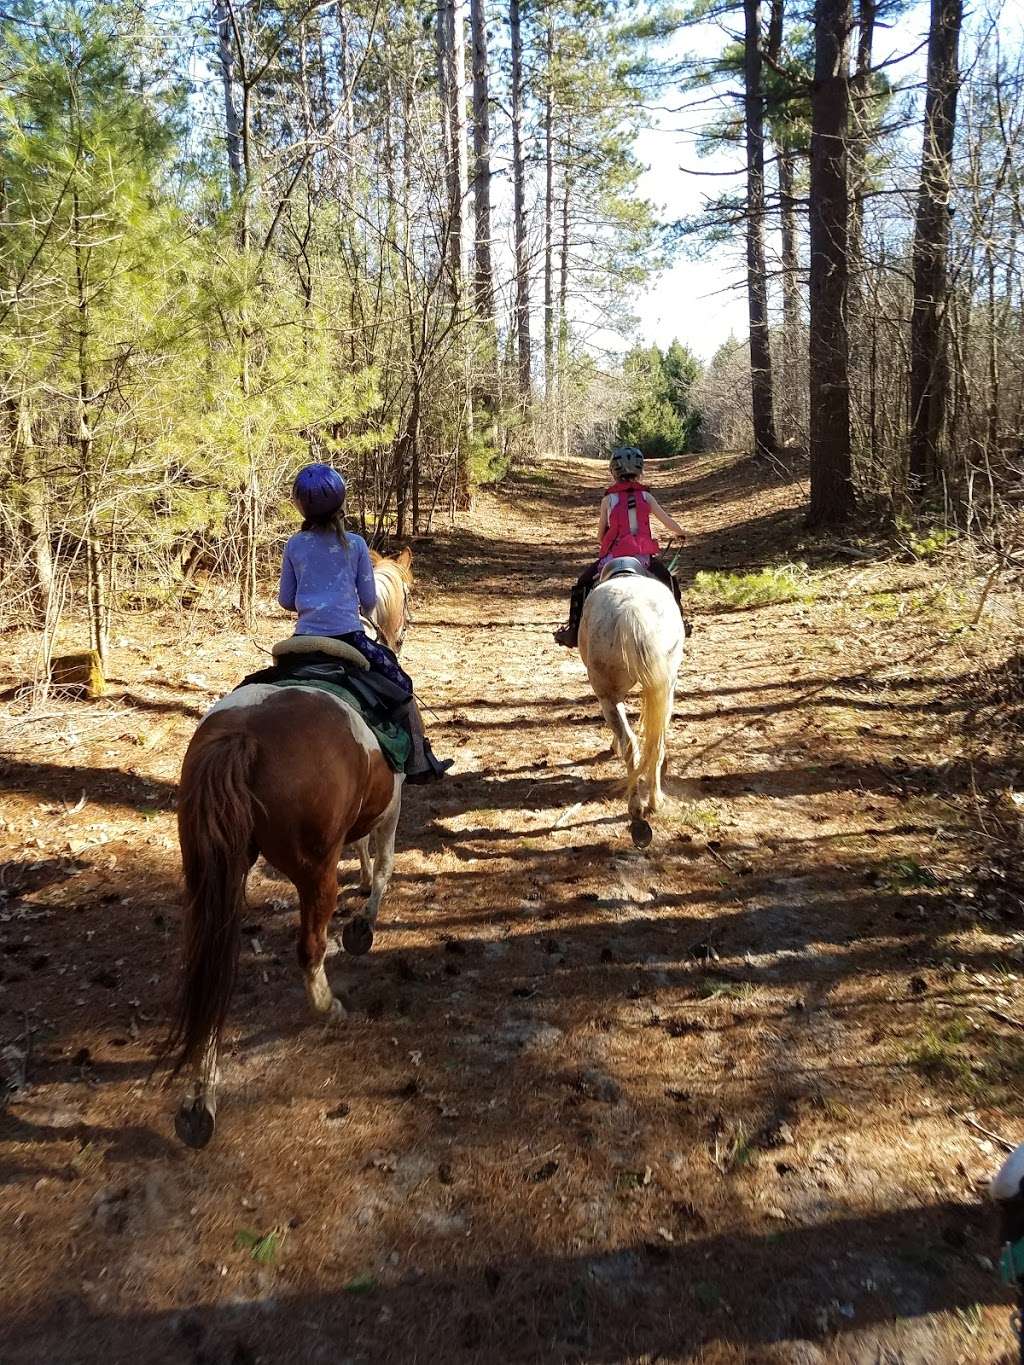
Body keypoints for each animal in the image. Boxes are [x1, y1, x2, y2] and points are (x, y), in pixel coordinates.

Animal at [168, 666, 404, 1146]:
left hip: (210, 876)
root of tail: (245, 735)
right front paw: (363, 926)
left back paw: (201, 1099)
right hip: (313, 873)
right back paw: (330, 1008)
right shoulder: (393, 801)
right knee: (310, 949)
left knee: (209, 973)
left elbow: (362, 849)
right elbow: (385, 863)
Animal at [581, 562, 685, 840]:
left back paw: (635, 805)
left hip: (606, 694)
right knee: (655, 742)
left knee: (630, 743)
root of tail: (632, 611)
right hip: (666, 686)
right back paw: (655, 801)